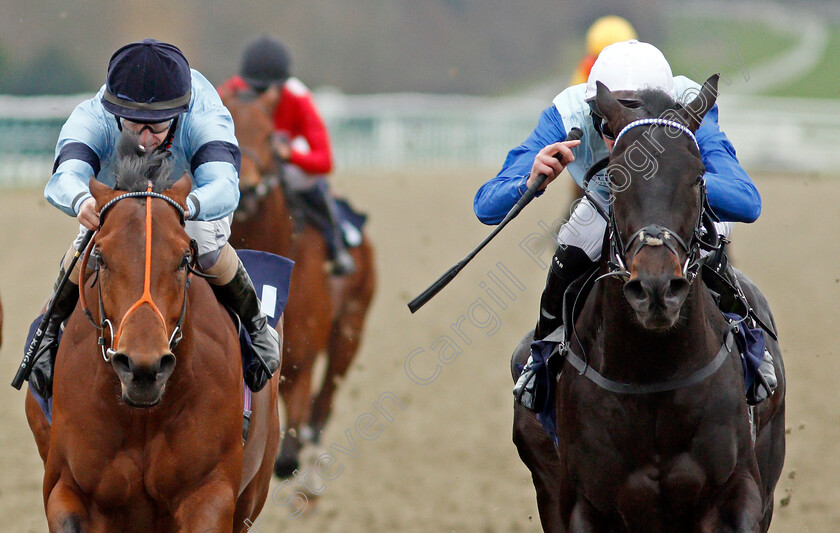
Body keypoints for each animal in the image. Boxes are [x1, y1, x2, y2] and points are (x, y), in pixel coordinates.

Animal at [22, 139, 278, 528]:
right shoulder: (65, 488)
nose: (144, 368)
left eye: (184, 259)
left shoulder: (210, 493)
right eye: (100, 257)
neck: (141, 414)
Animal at [220, 88, 378, 478]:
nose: (247, 188)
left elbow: (287, 455)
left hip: (350, 329)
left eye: (267, 135)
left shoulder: (301, 359)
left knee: (325, 399)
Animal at [512, 76, 788, 532]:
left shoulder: (739, 491)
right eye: (615, 177)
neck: (653, 375)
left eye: (697, 176)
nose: (657, 288)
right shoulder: (580, 504)